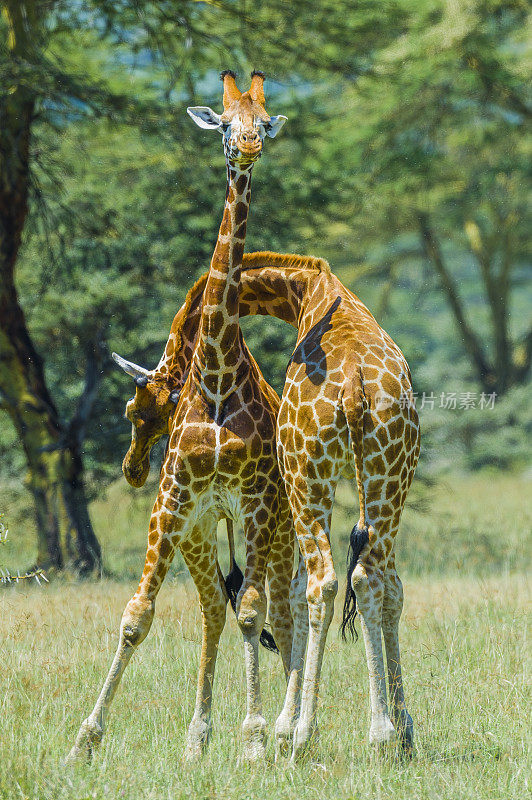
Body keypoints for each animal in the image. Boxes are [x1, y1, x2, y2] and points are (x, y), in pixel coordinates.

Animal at [65, 73, 296, 764]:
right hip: (200, 529)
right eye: (222, 122)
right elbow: (137, 615)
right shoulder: (174, 501)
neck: (216, 372)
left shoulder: (252, 501)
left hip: (278, 527)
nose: (246, 147)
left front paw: (253, 739)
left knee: (281, 614)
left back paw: (282, 730)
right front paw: (83, 742)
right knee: (215, 608)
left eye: (262, 120)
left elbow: (252, 612)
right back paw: (198, 738)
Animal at [119, 253, 420, 760]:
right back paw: (388, 733)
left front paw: (282, 728)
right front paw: (401, 728)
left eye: (138, 410)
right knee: (374, 580)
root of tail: (355, 390)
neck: (305, 290)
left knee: (319, 585)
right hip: (388, 475)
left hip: (307, 478)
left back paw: (302, 734)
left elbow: (289, 597)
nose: (134, 467)